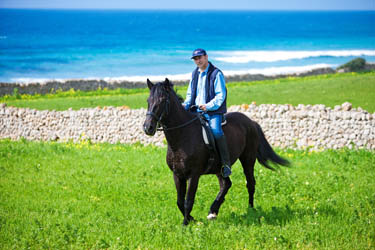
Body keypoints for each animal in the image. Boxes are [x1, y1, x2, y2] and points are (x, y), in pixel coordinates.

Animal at [144, 78, 290, 227]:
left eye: (162, 100)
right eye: (148, 100)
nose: (148, 127)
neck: (182, 137)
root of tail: (251, 122)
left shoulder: (194, 175)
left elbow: (188, 201)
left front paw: (186, 224)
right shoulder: (178, 174)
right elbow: (179, 201)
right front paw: (191, 219)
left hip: (247, 160)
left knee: (250, 184)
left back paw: (250, 209)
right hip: (220, 168)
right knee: (226, 184)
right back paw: (213, 211)